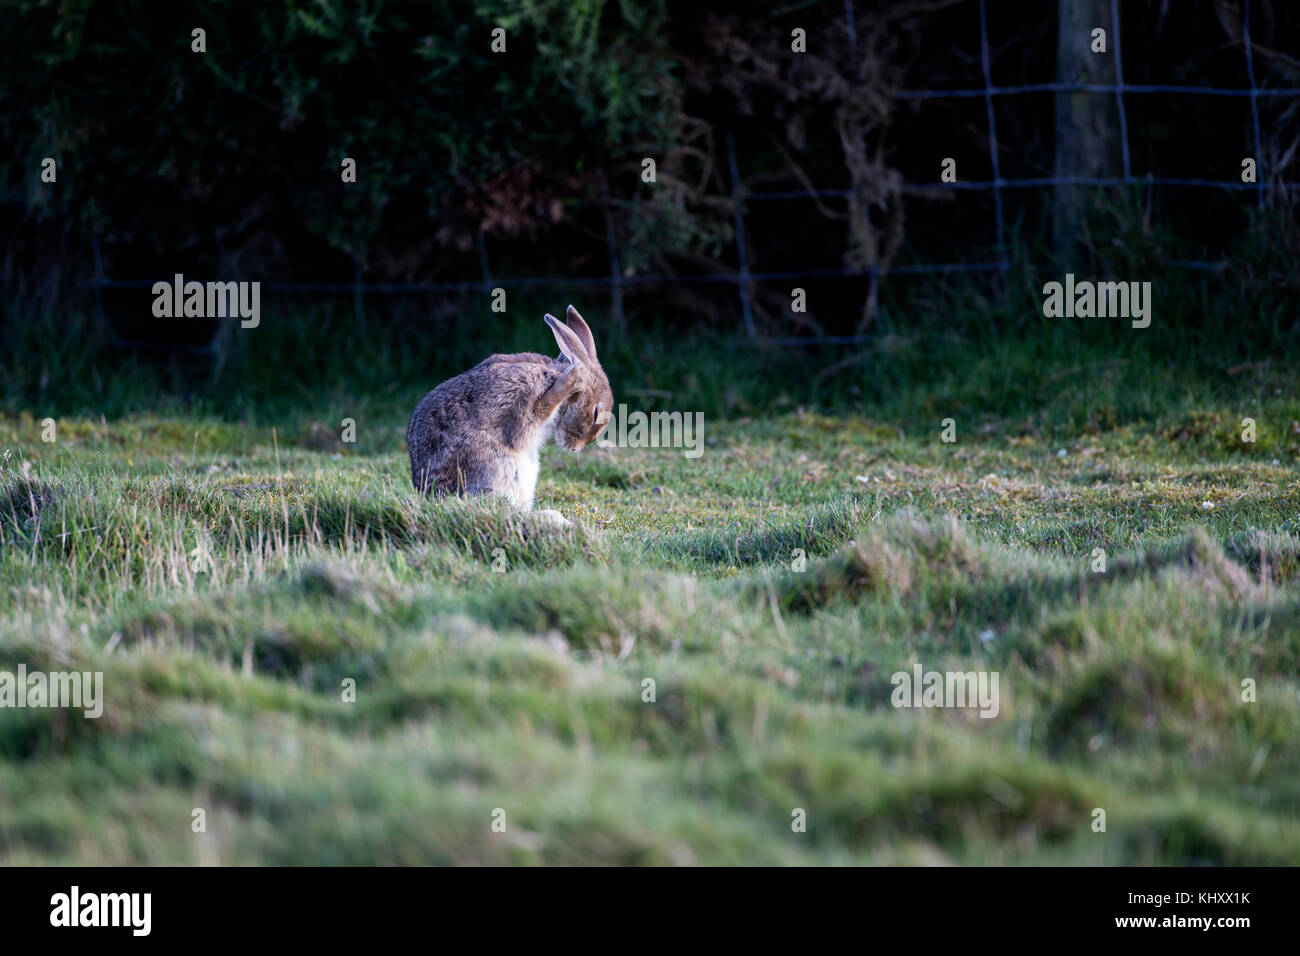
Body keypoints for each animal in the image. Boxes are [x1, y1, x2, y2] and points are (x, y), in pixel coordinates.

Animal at [405, 306, 613, 528]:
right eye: (595, 413)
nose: (575, 448)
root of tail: (429, 492)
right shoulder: (521, 395)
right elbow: (531, 418)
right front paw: (573, 378)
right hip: (500, 468)